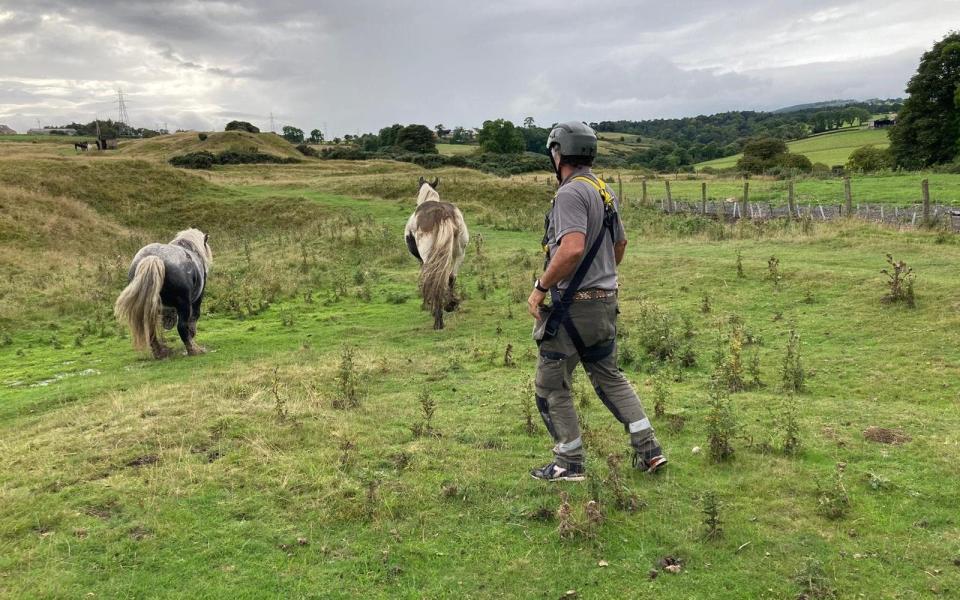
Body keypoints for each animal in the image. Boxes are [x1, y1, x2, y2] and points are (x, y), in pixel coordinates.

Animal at [115, 227, 213, 358]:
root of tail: (154, 258)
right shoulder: (197, 298)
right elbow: (194, 317)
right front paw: (192, 335)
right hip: (184, 304)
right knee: (181, 326)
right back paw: (193, 350)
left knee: (150, 328)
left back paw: (160, 352)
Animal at [404, 176, 466, 330]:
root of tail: (442, 214)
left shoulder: (422, 261)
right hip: (459, 254)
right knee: (451, 277)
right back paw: (450, 305)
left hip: (430, 258)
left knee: (434, 280)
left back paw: (437, 320)